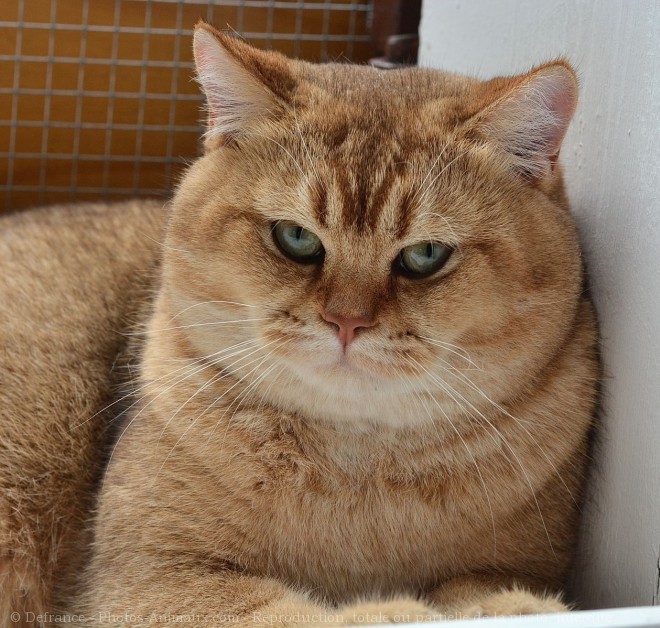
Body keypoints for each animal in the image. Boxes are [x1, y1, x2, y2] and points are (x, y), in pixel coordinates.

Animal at [0, 22, 600, 624]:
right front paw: (396, 610)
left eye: (426, 254)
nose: (346, 321)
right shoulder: (144, 580)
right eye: (295, 238)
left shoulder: (525, 562)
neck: (357, 463)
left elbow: (479, 583)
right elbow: (286, 613)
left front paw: (502, 604)